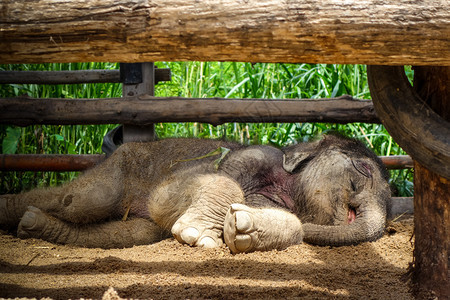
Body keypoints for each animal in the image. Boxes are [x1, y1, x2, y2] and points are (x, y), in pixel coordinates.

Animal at [0, 134, 388, 253]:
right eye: (362, 171)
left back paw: (33, 225)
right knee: (80, 200)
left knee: (126, 234)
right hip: (120, 169)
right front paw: (197, 235)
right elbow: (170, 196)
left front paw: (242, 228)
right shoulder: (248, 158)